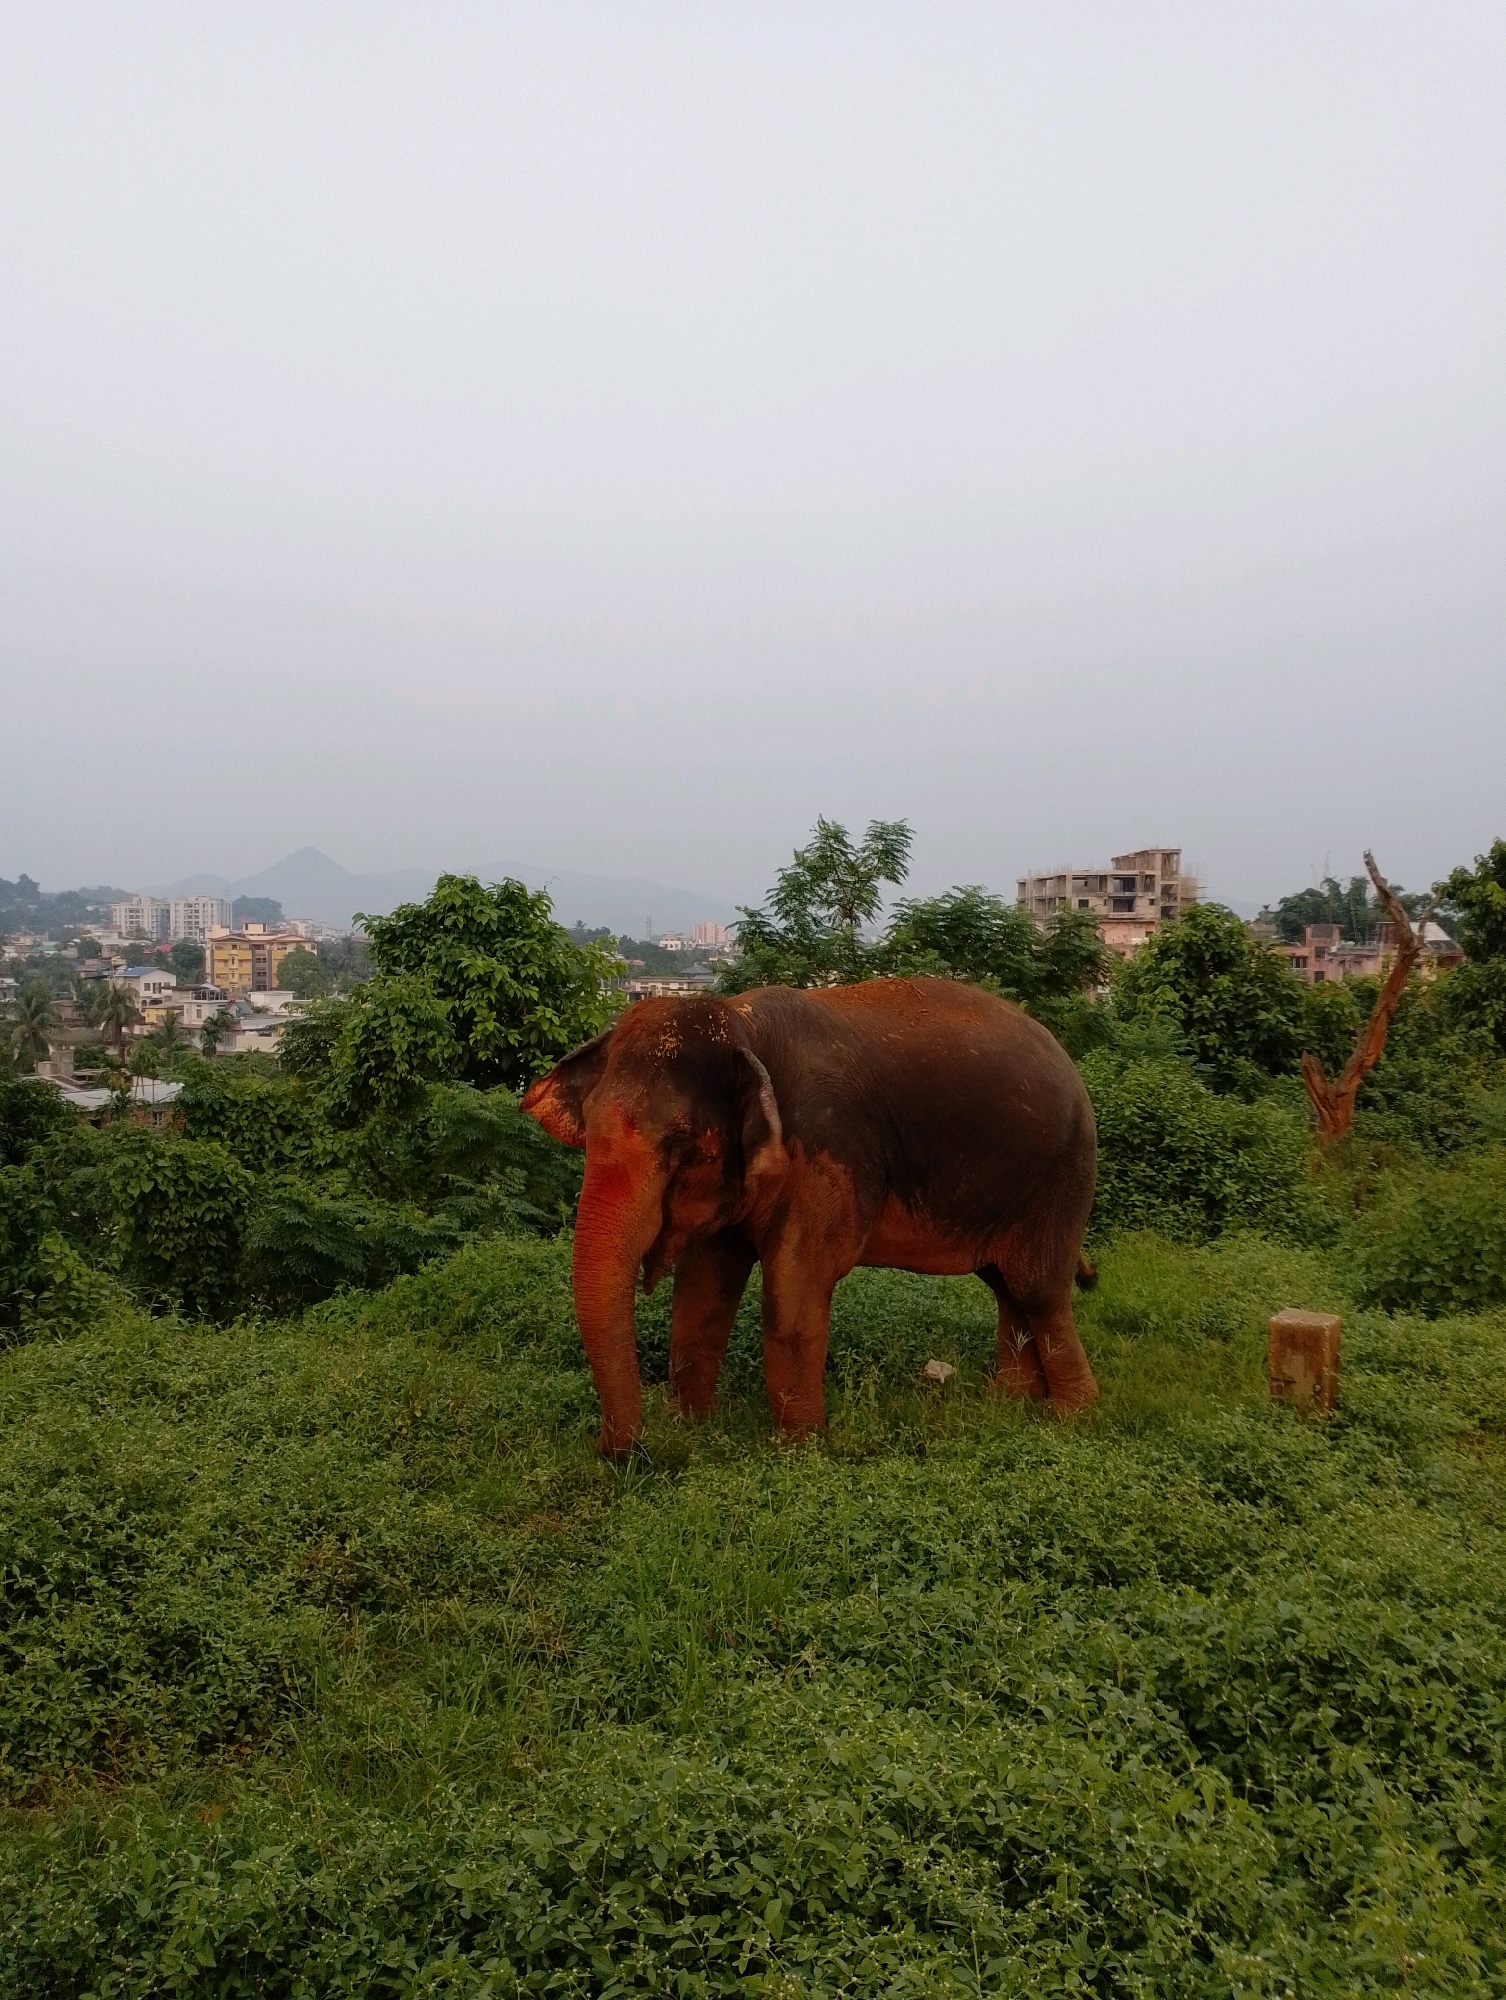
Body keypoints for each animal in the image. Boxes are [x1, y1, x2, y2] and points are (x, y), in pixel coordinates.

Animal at [520, 976, 1099, 1457]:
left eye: (682, 1146)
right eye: (589, 1129)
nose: (618, 1453)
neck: (742, 1023)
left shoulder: (829, 1150)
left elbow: (795, 1288)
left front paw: (796, 1450)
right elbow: (702, 1290)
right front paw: (692, 1426)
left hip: (1065, 1174)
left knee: (1038, 1290)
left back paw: (1068, 1416)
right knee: (1006, 1286)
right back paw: (1010, 1402)